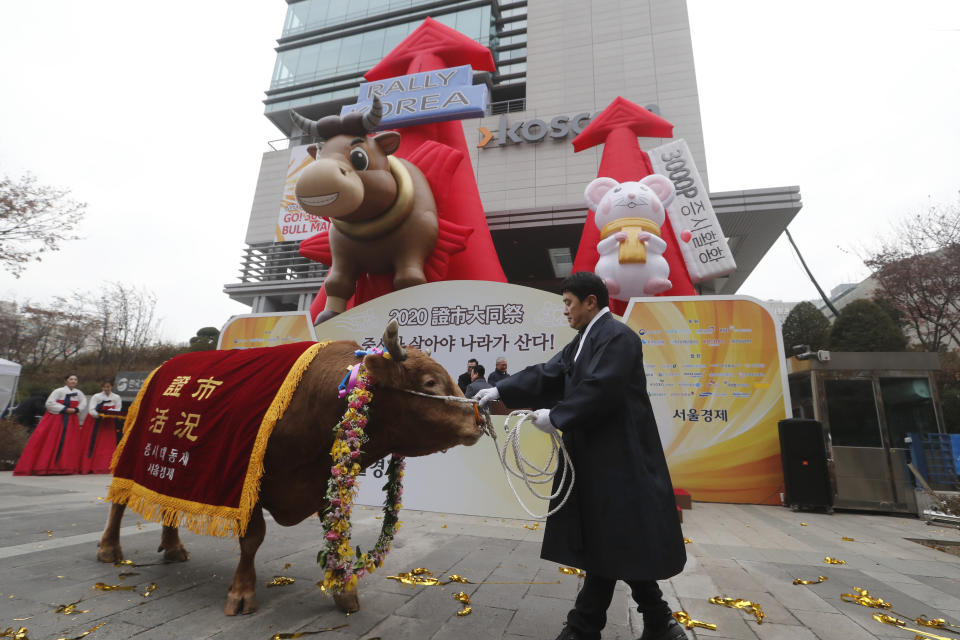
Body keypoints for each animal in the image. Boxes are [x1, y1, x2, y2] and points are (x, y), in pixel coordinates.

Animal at [97, 324, 480, 616]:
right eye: (430, 382)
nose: (477, 419)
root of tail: (163, 367)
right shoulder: (248, 481)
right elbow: (252, 538)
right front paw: (241, 593)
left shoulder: (323, 482)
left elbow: (337, 534)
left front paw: (344, 590)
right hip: (132, 452)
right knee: (118, 502)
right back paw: (109, 549)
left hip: (176, 470)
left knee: (170, 505)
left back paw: (173, 547)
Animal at [292, 97, 438, 322]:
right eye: (318, 156)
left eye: (360, 158)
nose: (316, 176)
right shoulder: (340, 252)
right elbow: (337, 283)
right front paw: (328, 316)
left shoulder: (415, 243)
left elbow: (409, 280)